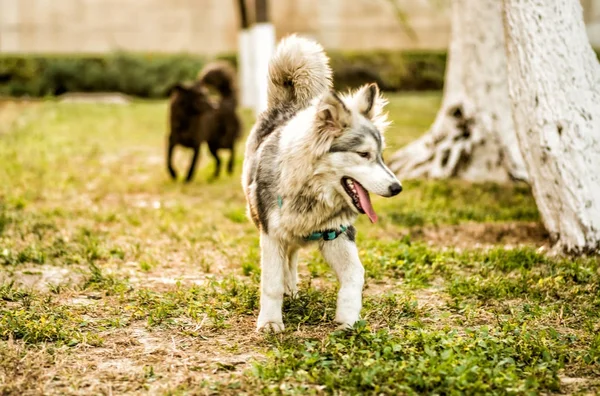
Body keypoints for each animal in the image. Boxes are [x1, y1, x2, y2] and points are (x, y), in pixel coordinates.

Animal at [240, 34, 404, 332]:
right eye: (364, 154)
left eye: (381, 155)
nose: (397, 188)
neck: (312, 194)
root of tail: (288, 105)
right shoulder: (271, 234)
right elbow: (270, 282)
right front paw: (270, 322)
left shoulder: (337, 234)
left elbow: (356, 275)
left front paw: (348, 318)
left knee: (292, 254)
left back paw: (292, 288)